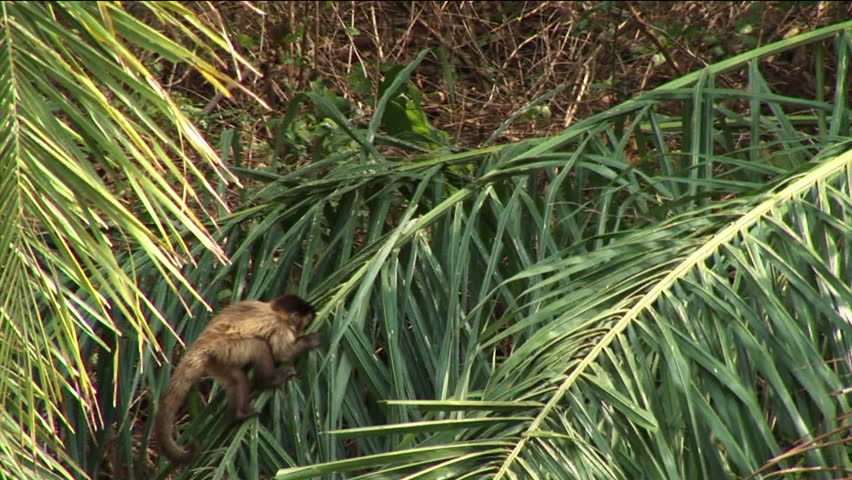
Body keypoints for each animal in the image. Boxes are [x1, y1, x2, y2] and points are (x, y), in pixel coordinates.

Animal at [154, 294, 322, 464]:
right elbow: (283, 353)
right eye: (307, 319)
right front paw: (310, 340)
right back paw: (267, 381)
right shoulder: (281, 327)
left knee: (237, 379)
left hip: (216, 360)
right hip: (226, 347)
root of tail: (201, 345)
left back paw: (239, 414)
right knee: (258, 346)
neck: (275, 311)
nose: (304, 327)